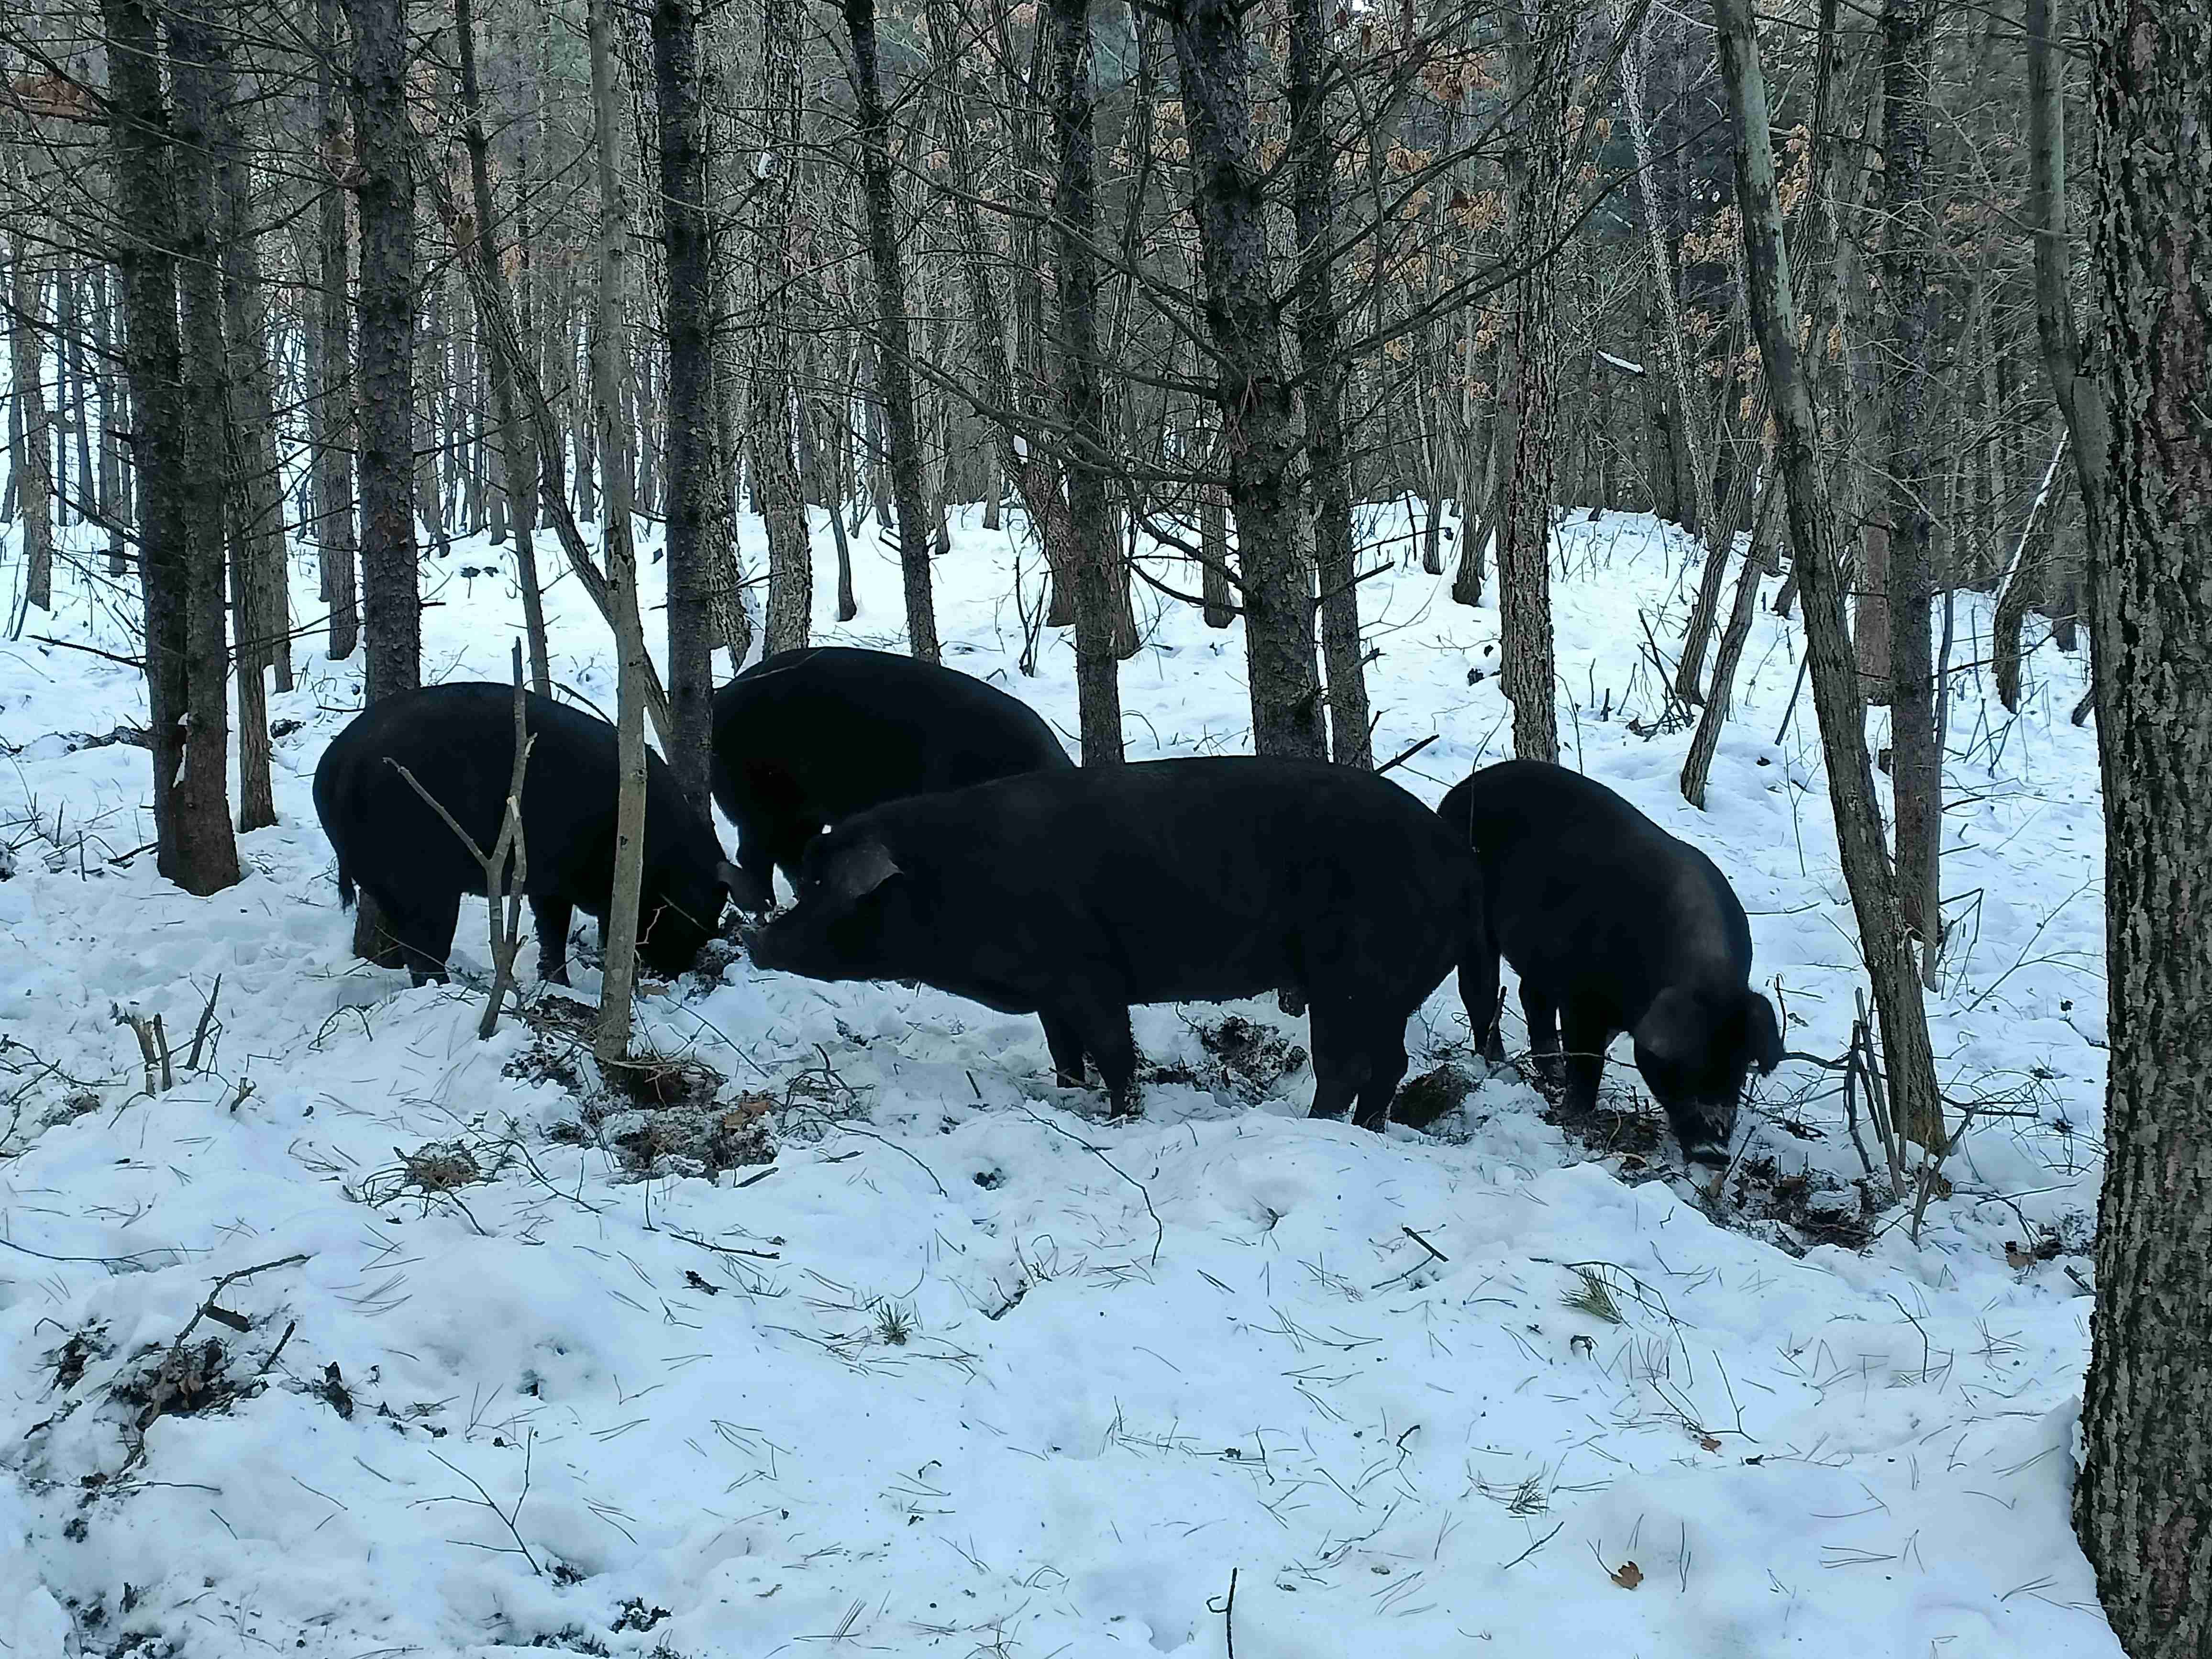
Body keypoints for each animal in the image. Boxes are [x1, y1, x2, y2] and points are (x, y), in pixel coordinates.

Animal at [314, 683, 737, 985]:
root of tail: (337, 767)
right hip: (424, 882)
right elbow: (576, 930)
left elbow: (552, 932)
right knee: (426, 949)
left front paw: (558, 984)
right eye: (695, 919)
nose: (674, 974)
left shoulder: (549, 885)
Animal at [710, 646, 1072, 913]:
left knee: (792, 852)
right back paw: (766, 908)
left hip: (799, 811)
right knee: (755, 855)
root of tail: (720, 697)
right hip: (760, 802)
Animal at [748, 756, 1489, 1128]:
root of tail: (1460, 856)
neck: (955, 886)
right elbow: (1063, 1050)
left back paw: (1315, 1127)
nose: (760, 940)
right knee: (1389, 1063)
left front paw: (1119, 1118)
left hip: (1356, 973)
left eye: (823, 884)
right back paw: (1367, 1130)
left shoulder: (1086, 973)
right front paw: (1067, 1093)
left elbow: (1113, 1051)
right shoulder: (1048, 992)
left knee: (1345, 1064)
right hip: (1390, 988)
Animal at [1437, 758, 1782, 1165]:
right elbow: (1588, 1060)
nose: (1713, 1153)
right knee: (1480, 988)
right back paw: (1498, 1066)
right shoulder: (1582, 997)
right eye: (1686, 1064)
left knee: (1529, 996)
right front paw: (1571, 1117)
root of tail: (1458, 791)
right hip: (1475, 921)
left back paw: (1552, 1072)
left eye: (1739, 1069)